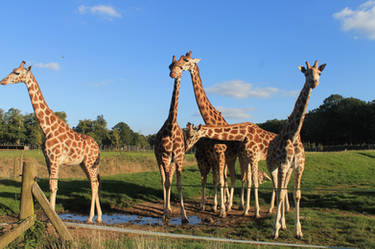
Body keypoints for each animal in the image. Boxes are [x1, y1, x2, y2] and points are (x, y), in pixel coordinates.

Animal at [0, 60, 103, 224]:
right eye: (13, 69)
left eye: (17, 72)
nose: (2, 81)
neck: (47, 129)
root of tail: (98, 147)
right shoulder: (48, 160)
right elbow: (51, 185)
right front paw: (50, 215)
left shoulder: (54, 159)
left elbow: (53, 186)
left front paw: (52, 218)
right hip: (85, 164)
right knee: (95, 183)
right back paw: (99, 217)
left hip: (89, 162)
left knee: (94, 184)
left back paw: (90, 217)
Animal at [270, 60, 326, 239]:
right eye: (306, 73)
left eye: (319, 73)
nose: (314, 82)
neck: (294, 134)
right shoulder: (283, 165)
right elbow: (280, 194)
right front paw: (275, 230)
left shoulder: (298, 167)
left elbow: (297, 195)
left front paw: (298, 231)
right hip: (273, 167)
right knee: (277, 189)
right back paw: (279, 225)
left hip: (288, 170)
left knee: (284, 189)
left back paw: (283, 224)